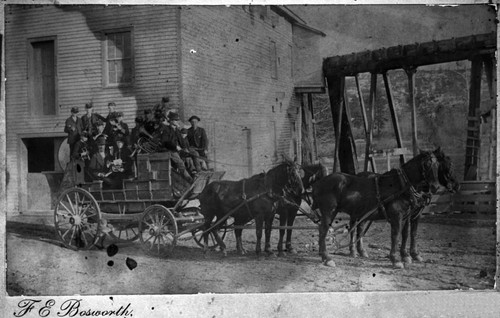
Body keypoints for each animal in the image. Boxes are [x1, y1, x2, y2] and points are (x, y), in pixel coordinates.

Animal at [310, 150, 444, 268]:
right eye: (426, 165)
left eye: (438, 165)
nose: (435, 187)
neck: (401, 185)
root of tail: (319, 182)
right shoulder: (397, 216)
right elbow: (395, 236)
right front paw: (396, 260)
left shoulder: (407, 216)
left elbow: (407, 234)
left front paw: (407, 256)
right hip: (329, 212)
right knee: (323, 231)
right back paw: (327, 258)